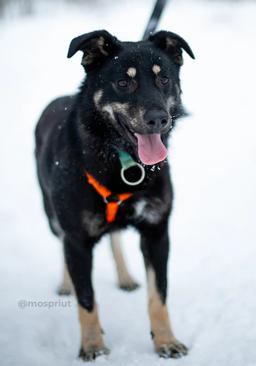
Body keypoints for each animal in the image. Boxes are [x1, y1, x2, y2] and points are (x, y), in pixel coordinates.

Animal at [34, 28, 194, 360]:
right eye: (123, 82)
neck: (123, 162)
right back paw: (66, 283)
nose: (159, 118)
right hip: (52, 217)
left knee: (115, 236)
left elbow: (159, 296)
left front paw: (165, 341)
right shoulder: (77, 240)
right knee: (62, 245)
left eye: (164, 79)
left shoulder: (157, 232)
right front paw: (93, 346)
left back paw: (125, 277)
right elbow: (86, 300)